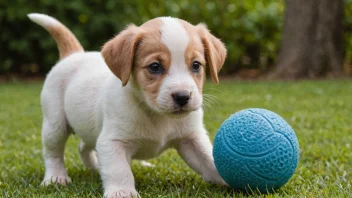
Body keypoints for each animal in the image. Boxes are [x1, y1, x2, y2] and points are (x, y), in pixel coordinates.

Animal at [26, 13, 226, 197]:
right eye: (155, 67)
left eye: (196, 65)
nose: (183, 96)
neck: (157, 115)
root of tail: (75, 54)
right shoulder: (112, 141)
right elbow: (119, 170)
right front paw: (121, 192)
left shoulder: (192, 139)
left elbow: (210, 160)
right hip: (55, 126)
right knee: (53, 153)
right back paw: (56, 177)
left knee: (84, 146)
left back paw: (96, 167)